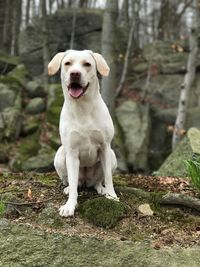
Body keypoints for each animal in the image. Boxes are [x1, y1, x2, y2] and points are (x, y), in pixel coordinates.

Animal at [47, 50, 118, 218]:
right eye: (67, 63)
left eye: (87, 64)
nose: (75, 73)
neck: (82, 107)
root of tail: (86, 181)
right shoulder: (72, 151)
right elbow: (73, 184)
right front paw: (70, 206)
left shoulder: (105, 146)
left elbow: (108, 177)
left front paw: (112, 195)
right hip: (60, 155)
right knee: (71, 182)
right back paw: (68, 188)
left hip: (112, 156)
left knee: (98, 181)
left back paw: (101, 189)